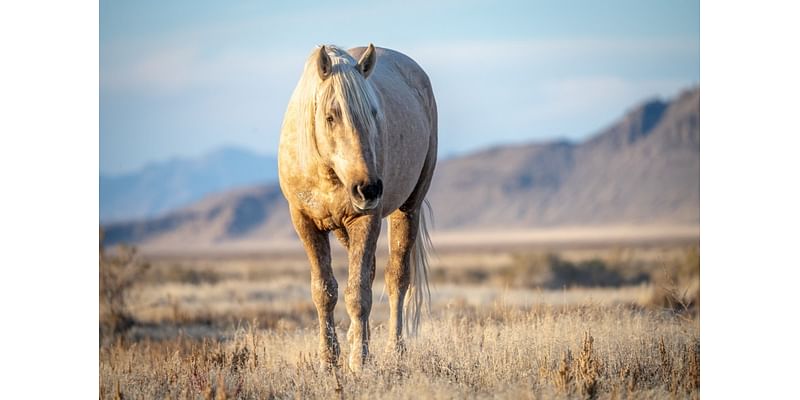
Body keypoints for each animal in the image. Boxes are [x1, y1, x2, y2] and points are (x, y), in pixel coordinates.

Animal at [276, 44, 438, 372]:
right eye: (330, 117)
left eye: (374, 113)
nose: (369, 189)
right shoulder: (305, 223)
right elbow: (324, 291)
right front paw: (329, 361)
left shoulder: (366, 219)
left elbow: (358, 293)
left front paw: (358, 362)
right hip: (343, 230)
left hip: (408, 209)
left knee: (397, 279)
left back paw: (393, 350)